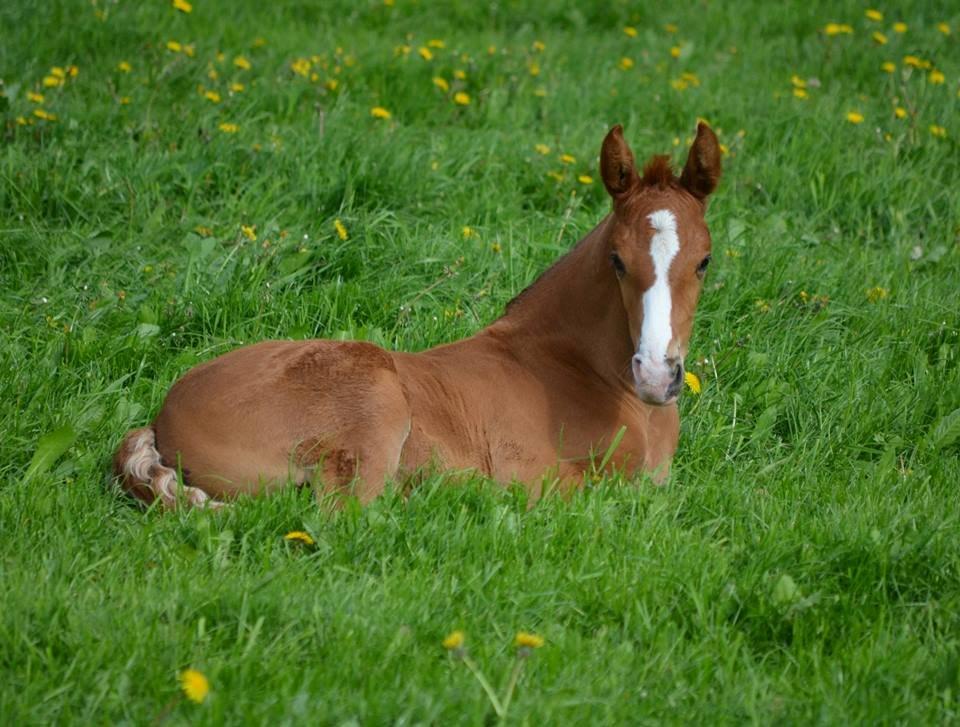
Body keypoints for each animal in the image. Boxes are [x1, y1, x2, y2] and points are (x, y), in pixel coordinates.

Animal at [112, 122, 720, 510]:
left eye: (704, 261)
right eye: (617, 260)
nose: (657, 375)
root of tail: (163, 417)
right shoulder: (538, 477)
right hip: (374, 406)